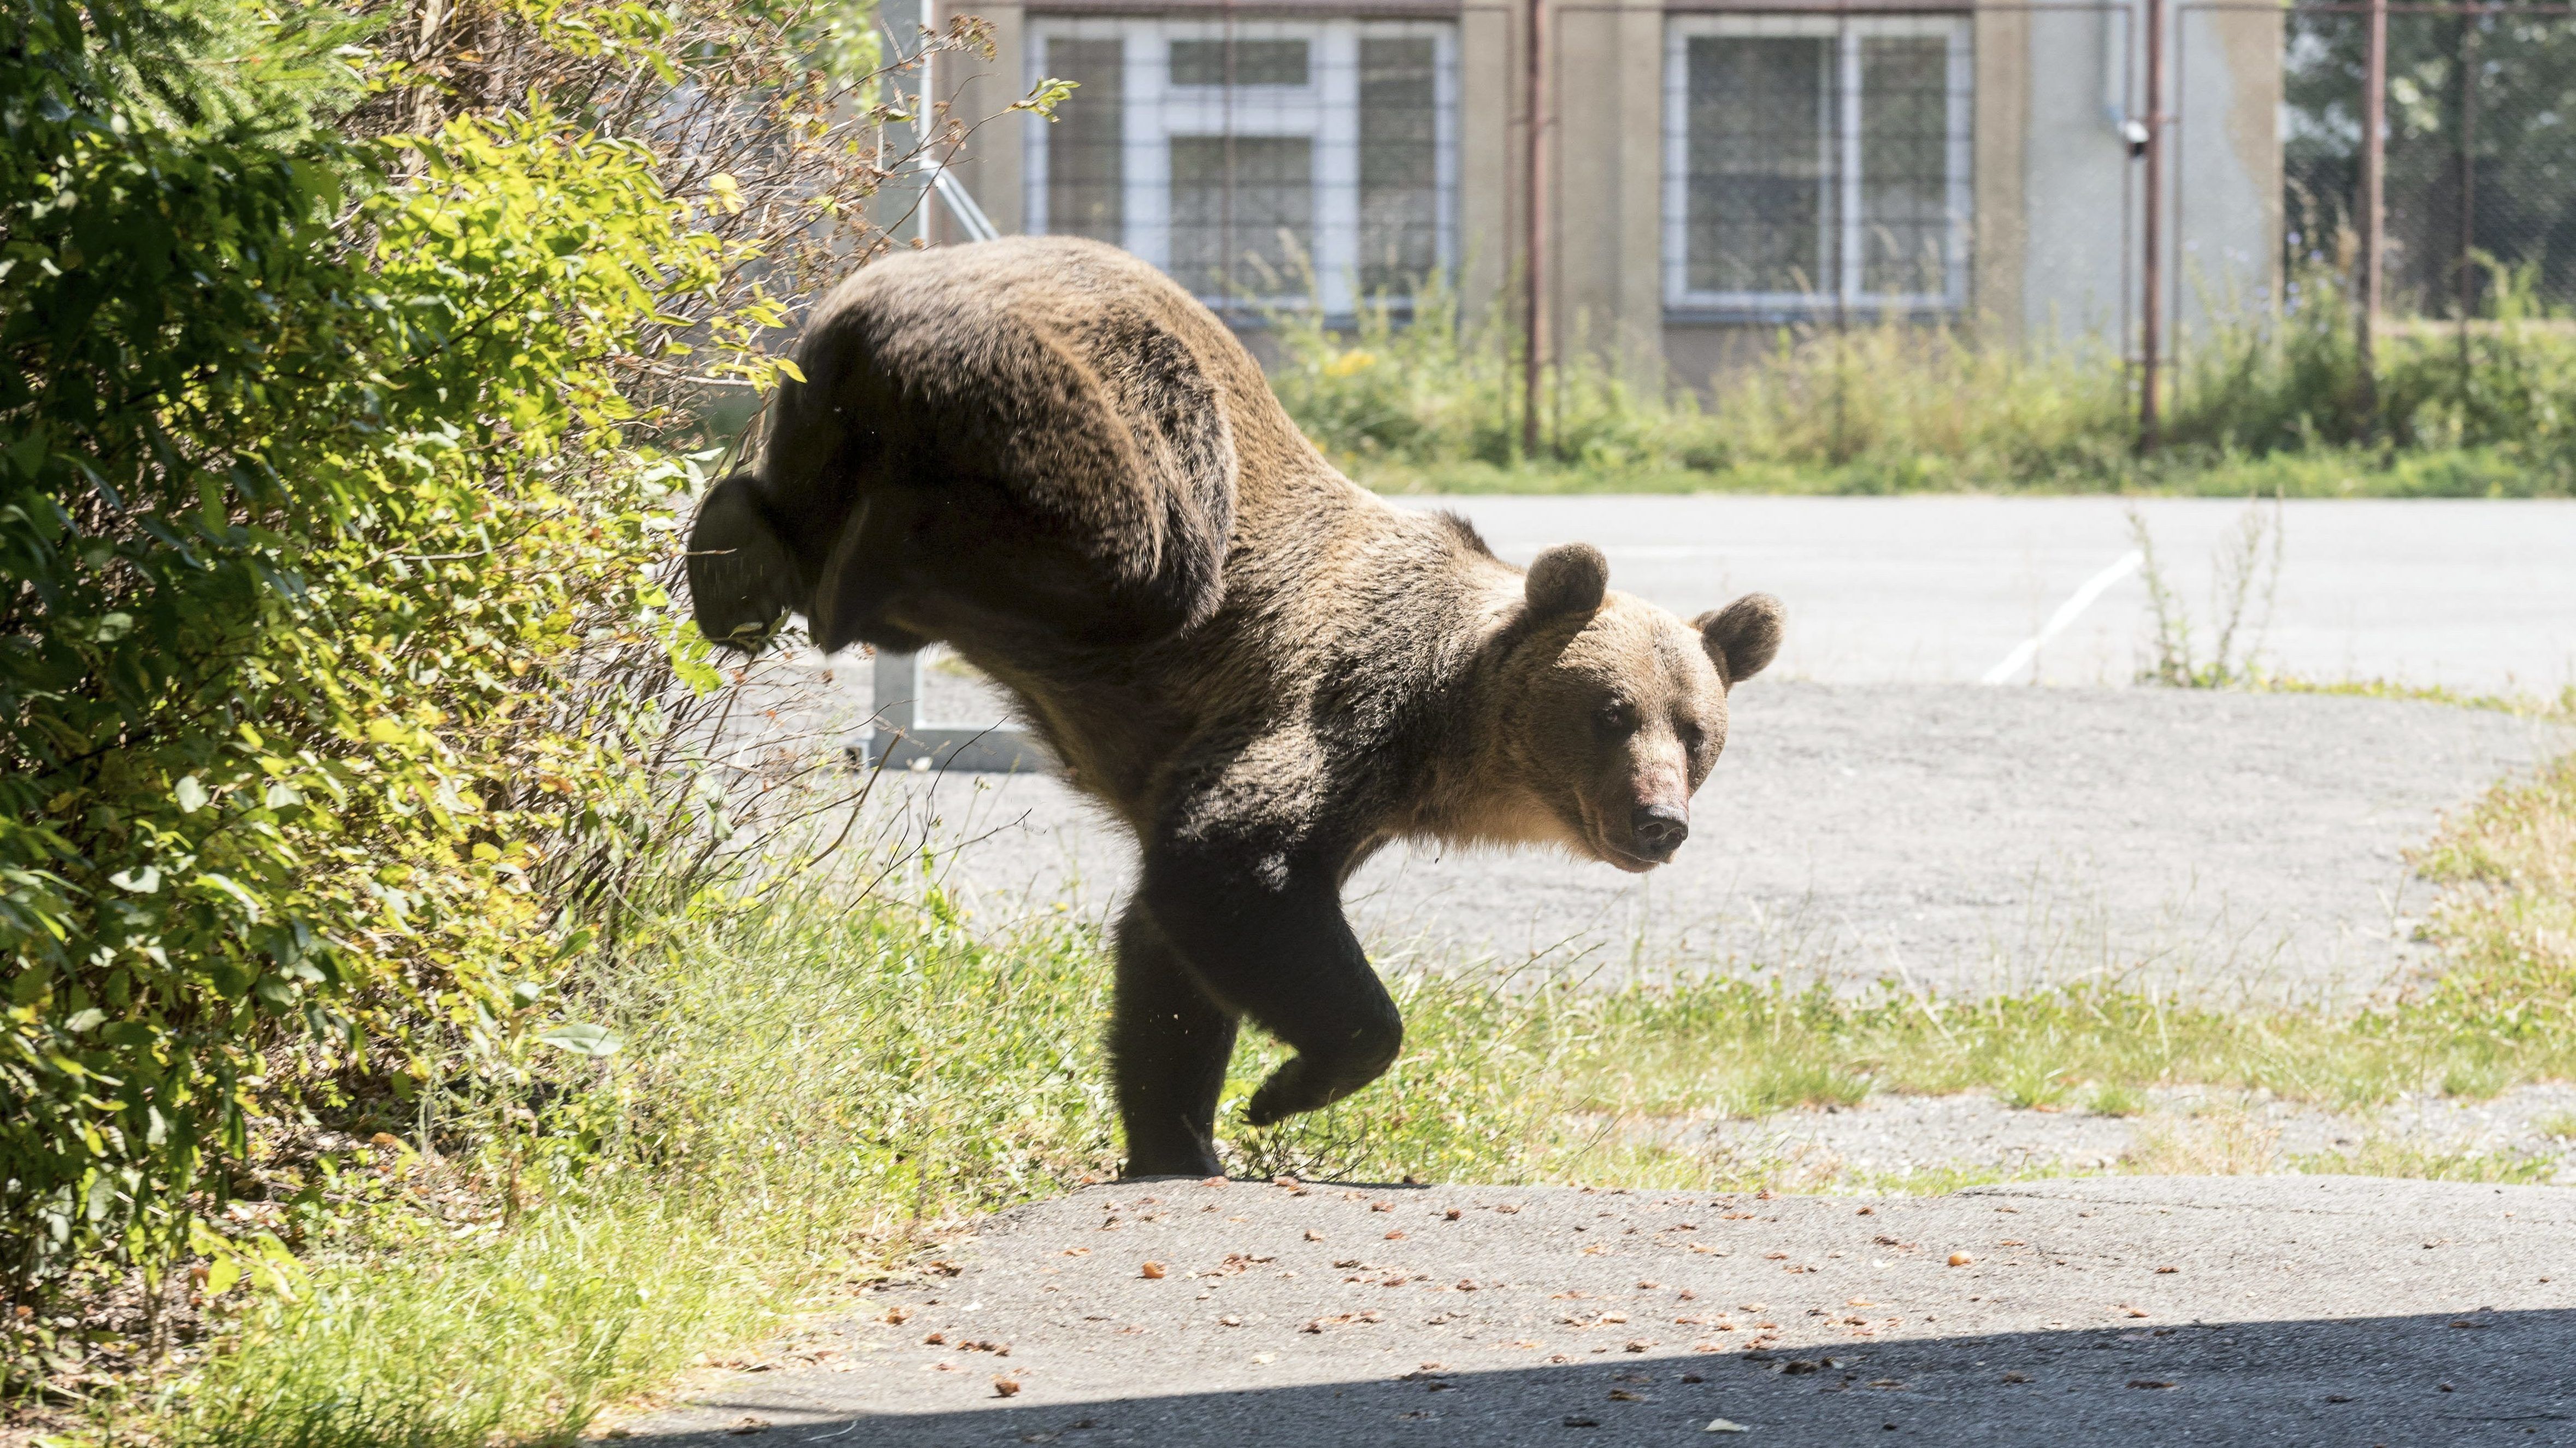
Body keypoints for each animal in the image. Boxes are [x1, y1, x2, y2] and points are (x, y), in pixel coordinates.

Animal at [685, 237, 1782, 1174]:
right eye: (1610, 712)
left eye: (1697, 732)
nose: (1659, 819)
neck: (1445, 731)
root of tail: (870, 296)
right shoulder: (1340, 702)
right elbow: (1230, 860)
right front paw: (1284, 1088)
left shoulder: (1356, 798)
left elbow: (1166, 957)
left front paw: (1178, 1136)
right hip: (1088, 405)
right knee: (1137, 547)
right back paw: (848, 571)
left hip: (821, 402)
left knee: (794, 495)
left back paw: (734, 556)